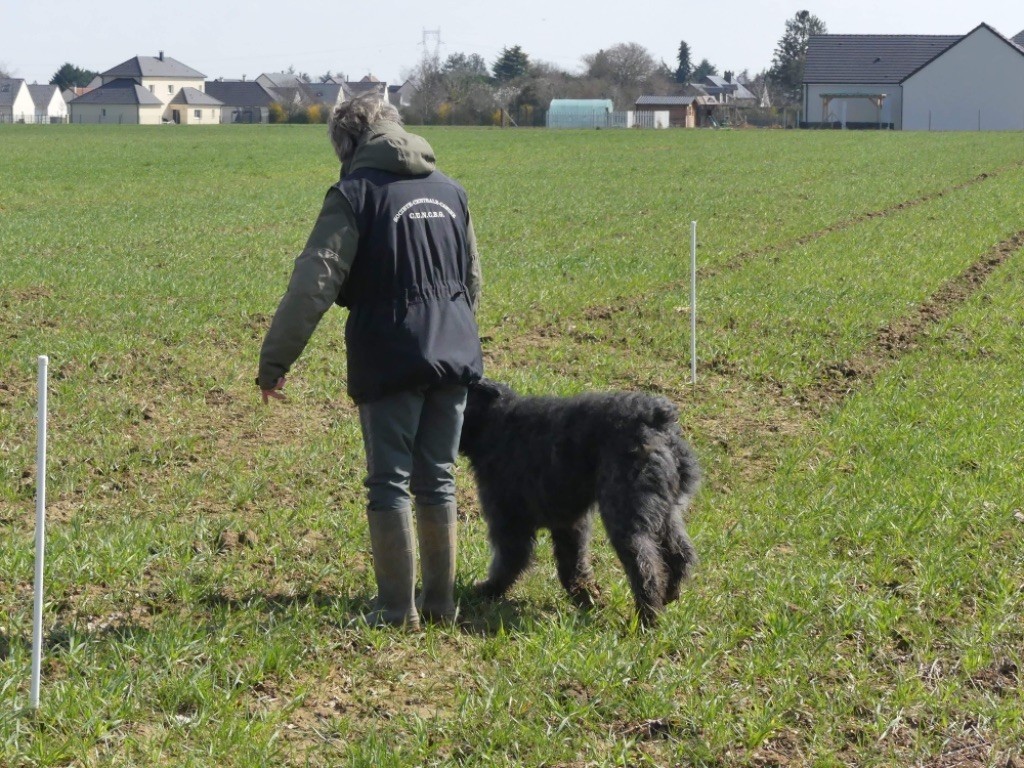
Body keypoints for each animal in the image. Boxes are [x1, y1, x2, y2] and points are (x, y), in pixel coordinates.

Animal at [460, 378, 700, 626]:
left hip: (626, 517)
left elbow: (509, 561)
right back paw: (669, 594)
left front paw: (488, 590)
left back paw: (646, 618)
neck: (493, 422)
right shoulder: (568, 521)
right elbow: (572, 564)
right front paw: (586, 596)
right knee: (680, 554)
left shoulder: (508, 519)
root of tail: (659, 421)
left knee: (646, 566)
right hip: (665, 513)